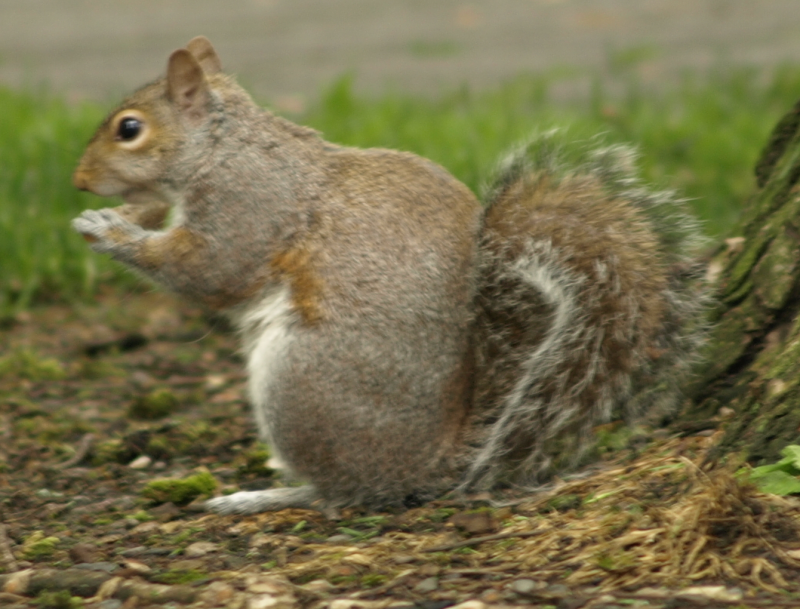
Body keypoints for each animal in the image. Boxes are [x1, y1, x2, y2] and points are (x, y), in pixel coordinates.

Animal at [72, 37, 708, 515]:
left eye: (129, 129)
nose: (78, 181)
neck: (223, 147)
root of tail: (429, 464)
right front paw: (131, 215)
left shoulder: (248, 205)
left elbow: (208, 270)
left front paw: (109, 230)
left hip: (301, 381)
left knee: (346, 491)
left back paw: (271, 495)